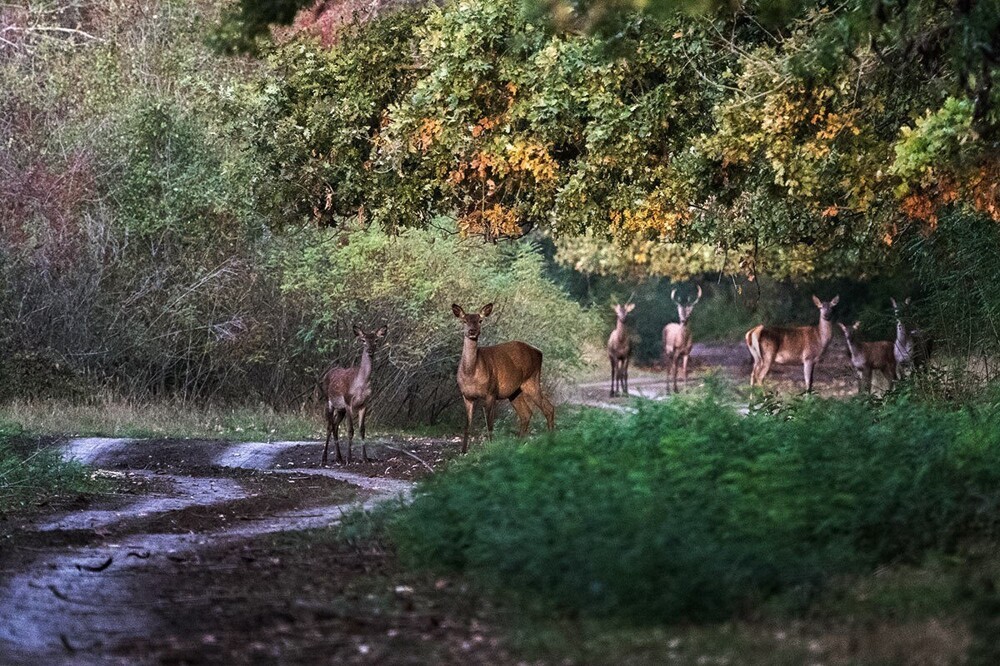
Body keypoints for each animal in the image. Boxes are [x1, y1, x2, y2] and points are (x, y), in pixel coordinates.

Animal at [320, 324, 386, 464]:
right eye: (363, 340)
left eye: (376, 340)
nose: (370, 351)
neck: (360, 385)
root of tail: (327, 373)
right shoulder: (348, 401)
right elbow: (350, 430)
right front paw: (349, 459)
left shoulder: (364, 404)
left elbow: (362, 430)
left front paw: (365, 458)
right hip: (328, 401)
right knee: (329, 426)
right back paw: (324, 458)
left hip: (340, 409)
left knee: (335, 426)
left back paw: (338, 457)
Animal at [454, 302, 556, 452]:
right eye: (464, 320)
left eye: (480, 320)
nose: (472, 331)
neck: (471, 373)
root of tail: (539, 352)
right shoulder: (466, 395)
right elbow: (467, 425)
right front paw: (463, 451)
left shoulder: (491, 392)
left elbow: (490, 424)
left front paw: (490, 447)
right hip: (515, 391)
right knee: (526, 413)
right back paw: (519, 444)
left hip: (531, 380)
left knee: (548, 408)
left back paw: (550, 440)